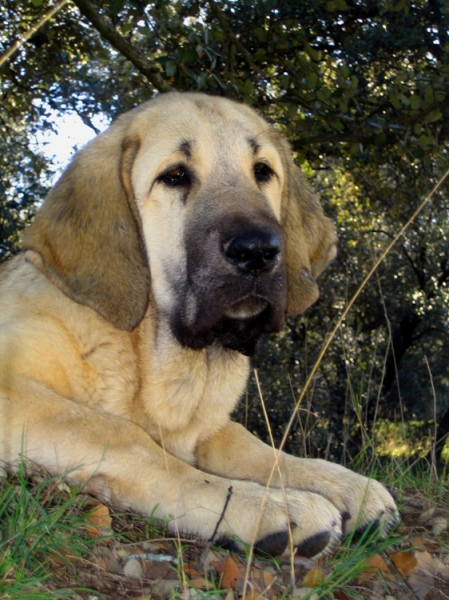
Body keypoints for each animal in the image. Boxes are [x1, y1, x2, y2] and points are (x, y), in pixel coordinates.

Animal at [0, 94, 396, 556]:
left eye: (263, 171)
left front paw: (337, 481)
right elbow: (125, 437)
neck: (147, 354)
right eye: (174, 175)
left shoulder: (207, 429)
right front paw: (266, 506)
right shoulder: (13, 386)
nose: (257, 251)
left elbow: (251, 444)